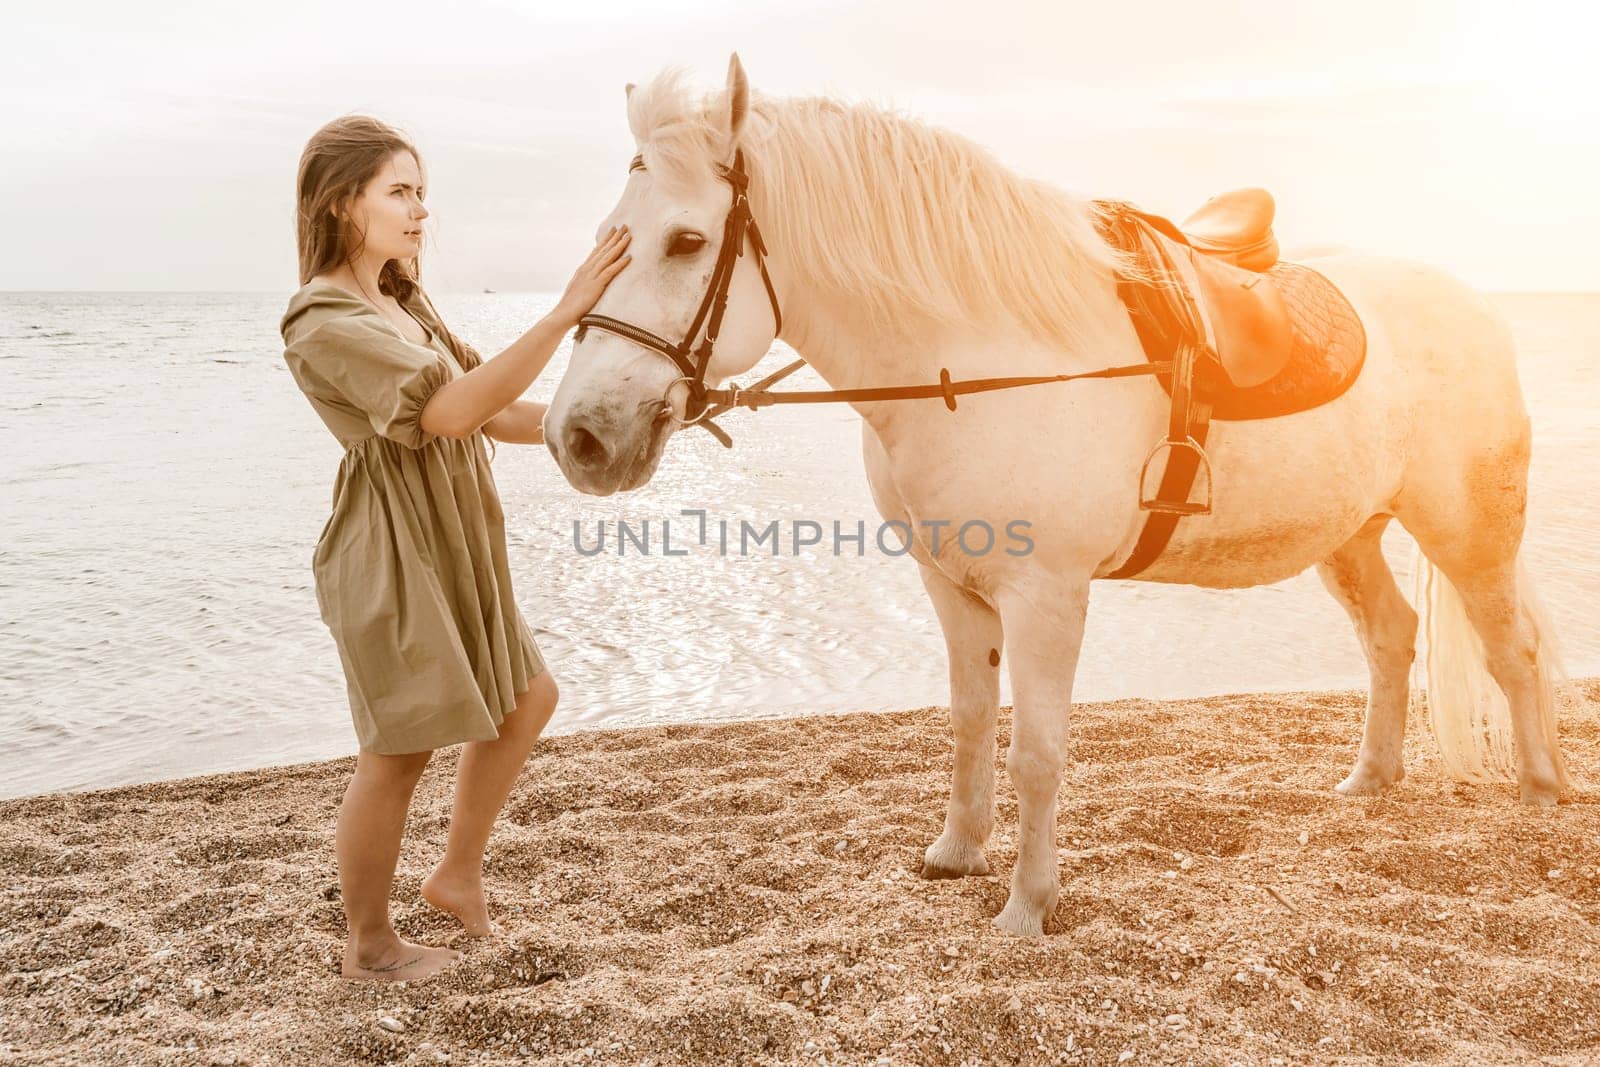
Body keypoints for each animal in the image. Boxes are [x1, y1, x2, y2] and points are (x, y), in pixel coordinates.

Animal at [540, 56, 1574, 934]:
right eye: (607, 241)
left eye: (687, 240)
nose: (579, 437)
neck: (977, 359)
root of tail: (1475, 302)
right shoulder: (951, 585)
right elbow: (968, 722)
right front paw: (956, 851)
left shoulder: (1047, 595)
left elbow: (1037, 748)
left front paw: (1027, 904)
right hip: (1349, 534)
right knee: (1392, 636)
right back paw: (1371, 778)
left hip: (1468, 532)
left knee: (1512, 649)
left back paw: (1540, 790)